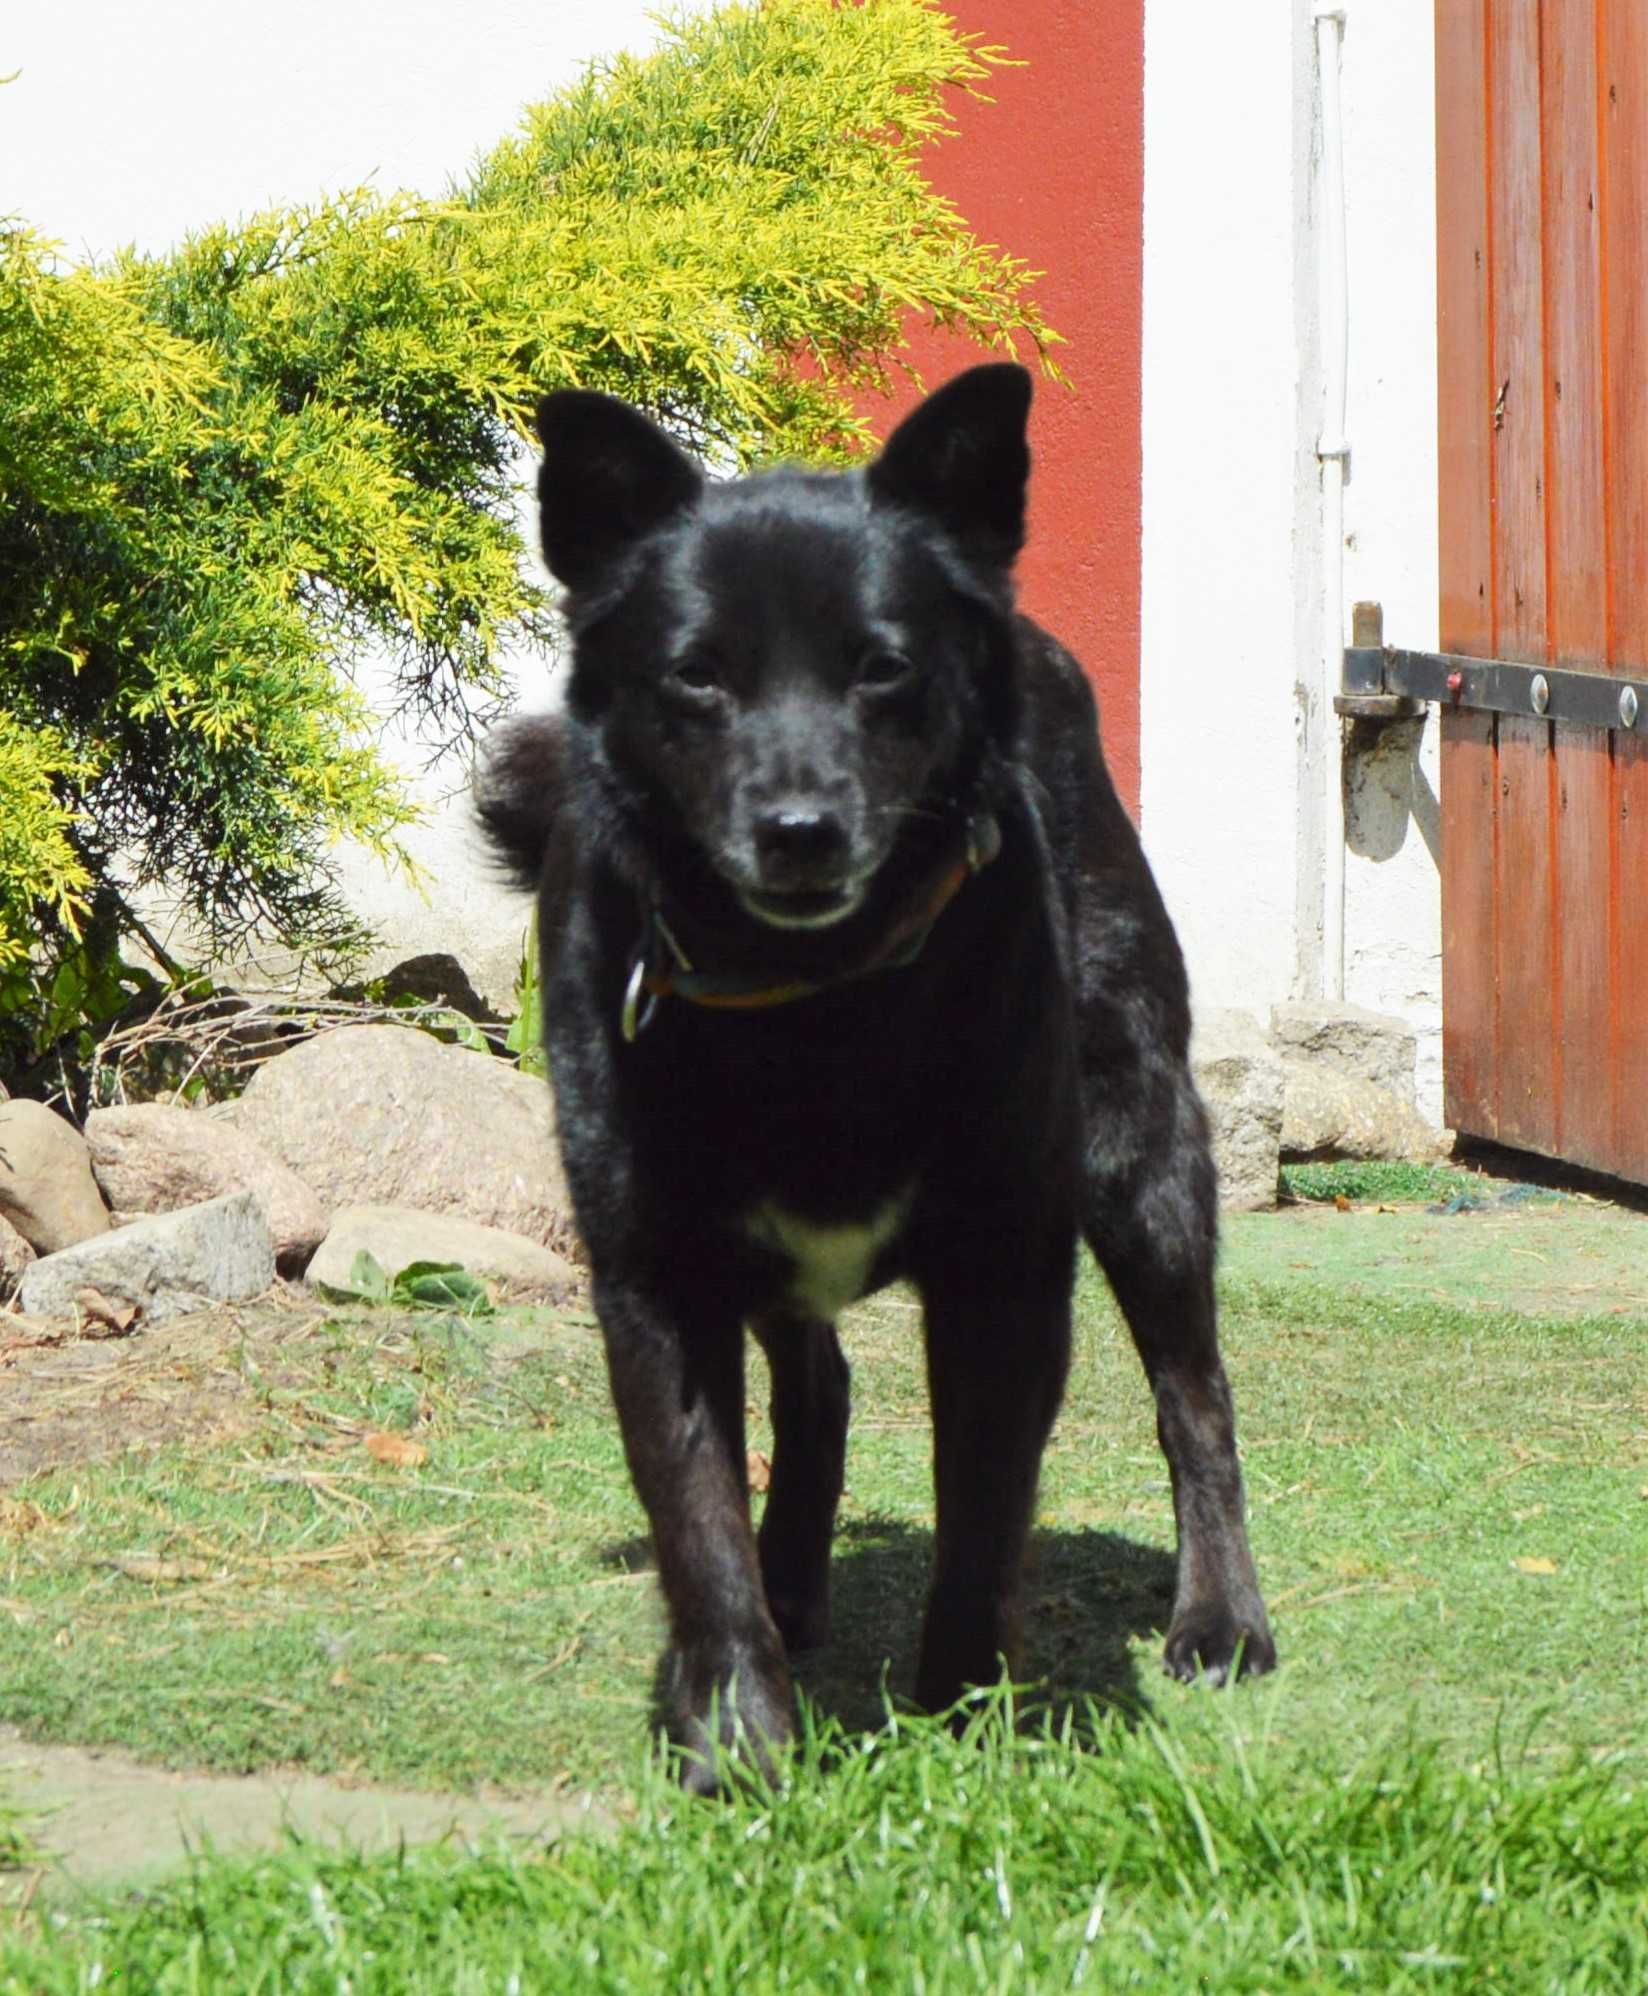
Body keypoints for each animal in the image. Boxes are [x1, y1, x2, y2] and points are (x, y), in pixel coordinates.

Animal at [474, 363, 1268, 1796]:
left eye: (883, 668)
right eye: (697, 677)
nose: (800, 832)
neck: (814, 996)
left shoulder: (1006, 1267)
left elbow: (981, 1512)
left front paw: (962, 1718)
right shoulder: (654, 1278)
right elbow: (696, 1527)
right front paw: (738, 1739)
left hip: (1142, 1155)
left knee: (1197, 1399)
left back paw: (1222, 1618)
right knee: (819, 1384)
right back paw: (792, 1591)